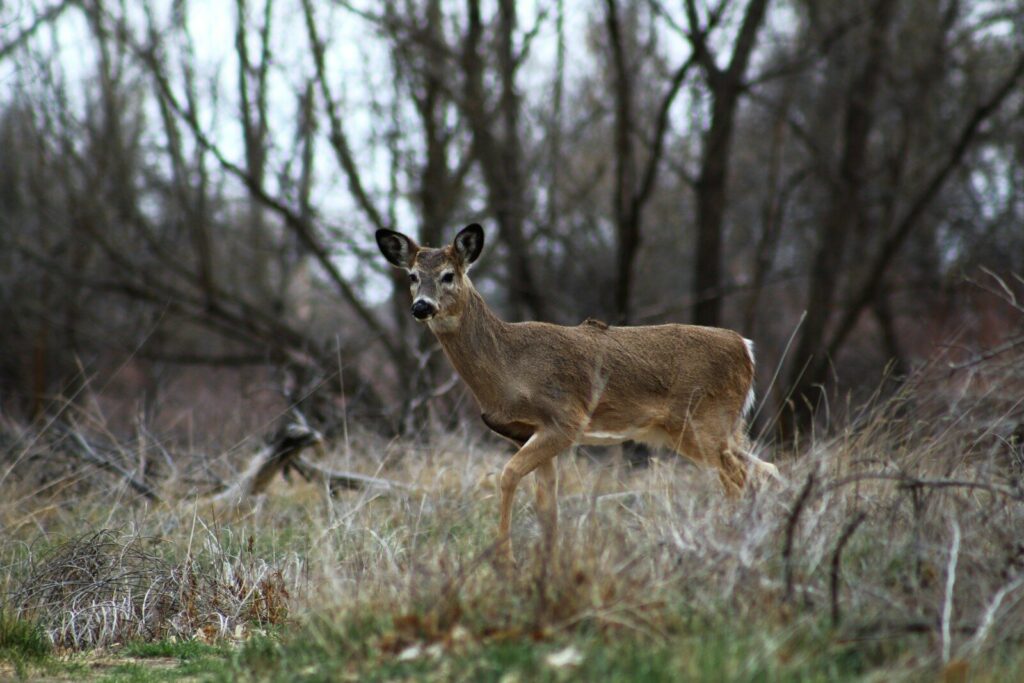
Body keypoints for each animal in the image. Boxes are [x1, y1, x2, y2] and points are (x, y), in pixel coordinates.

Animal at [376, 223, 778, 566]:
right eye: (412, 276)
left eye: (449, 275)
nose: (421, 306)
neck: (509, 368)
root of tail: (745, 348)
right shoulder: (530, 431)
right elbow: (547, 504)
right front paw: (546, 566)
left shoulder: (565, 419)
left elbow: (507, 475)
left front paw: (505, 561)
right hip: (720, 428)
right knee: (762, 469)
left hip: (702, 422)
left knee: (739, 477)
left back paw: (736, 544)